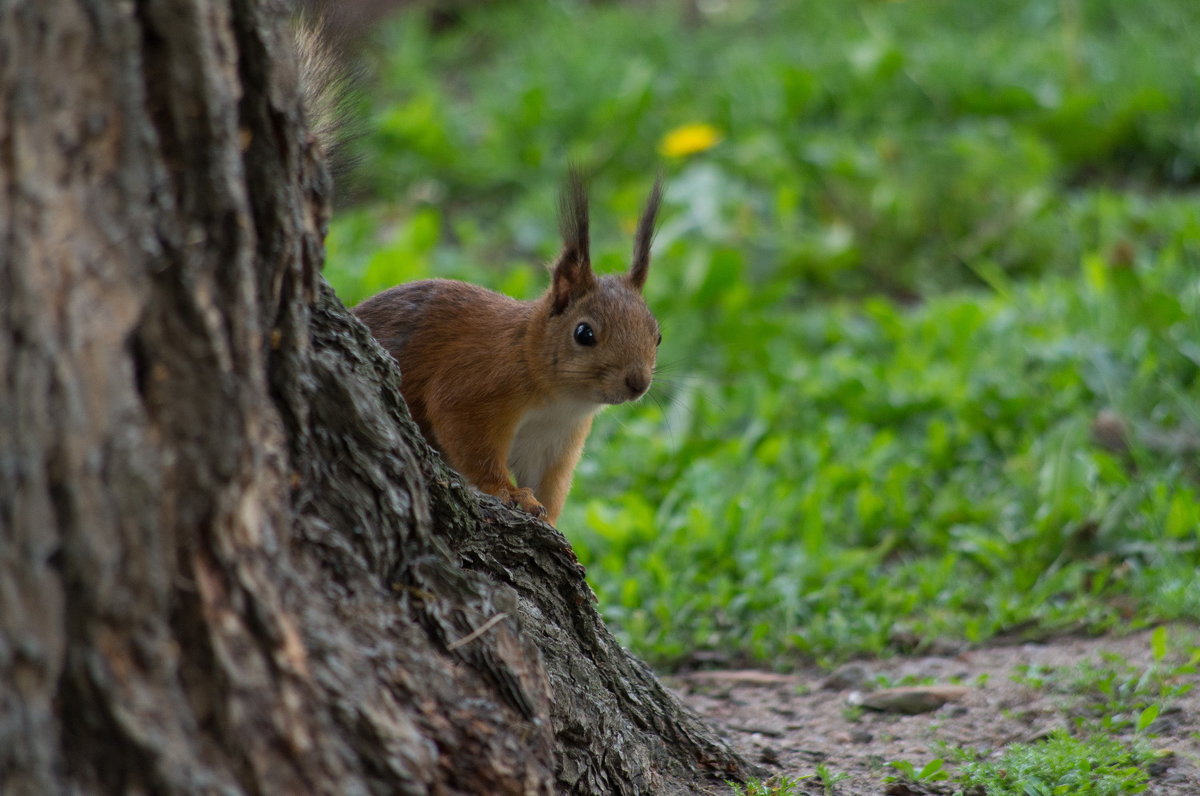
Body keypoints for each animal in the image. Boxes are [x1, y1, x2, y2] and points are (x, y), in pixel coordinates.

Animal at [350, 174, 662, 523]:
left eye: (658, 336)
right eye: (584, 333)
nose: (638, 383)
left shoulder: (553, 442)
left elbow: (549, 486)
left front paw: (552, 523)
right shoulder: (471, 388)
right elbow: (473, 447)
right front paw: (509, 492)